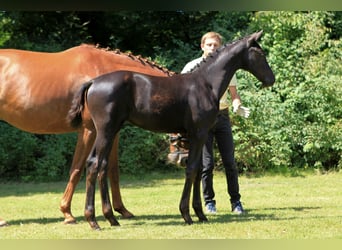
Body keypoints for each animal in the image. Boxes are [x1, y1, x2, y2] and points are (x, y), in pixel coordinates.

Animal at [0, 43, 171, 227]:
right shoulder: (89, 130)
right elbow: (77, 169)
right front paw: (67, 213)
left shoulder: (112, 132)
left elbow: (113, 170)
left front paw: (122, 210)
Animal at [67, 30, 276, 229]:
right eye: (260, 53)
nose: (271, 79)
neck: (205, 83)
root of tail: (93, 83)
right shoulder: (199, 133)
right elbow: (191, 170)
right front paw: (187, 214)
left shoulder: (199, 136)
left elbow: (198, 170)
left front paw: (200, 214)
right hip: (106, 131)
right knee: (95, 165)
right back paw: (93, 221)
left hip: (106, 132)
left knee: (97, 165)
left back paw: (110, 218)